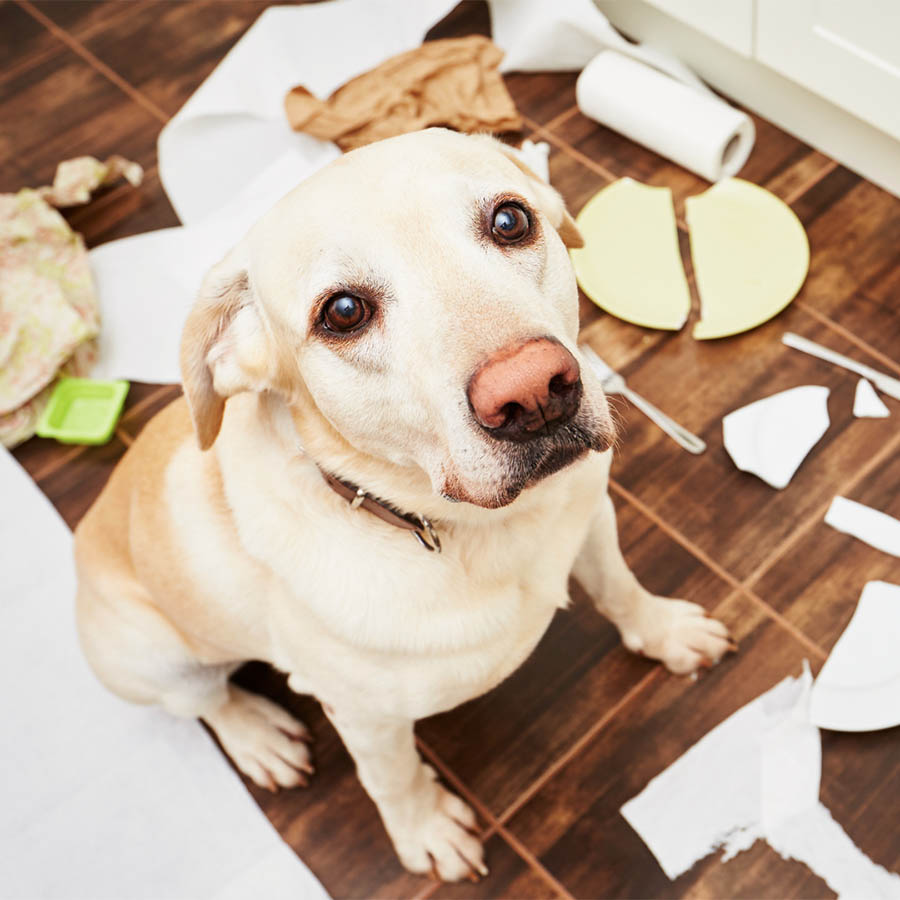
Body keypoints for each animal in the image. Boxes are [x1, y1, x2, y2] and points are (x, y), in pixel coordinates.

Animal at [74, 130, 736, 884]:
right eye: (343, 312)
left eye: (511, 220)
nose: (533, 391)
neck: (477, 528)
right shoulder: (367, 719)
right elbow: (391, 779)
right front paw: (425, 831)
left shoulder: (591, 523)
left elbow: (621, 588)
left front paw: (665, 633)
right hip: (154, 657)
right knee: (207, 704)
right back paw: (258, 737)